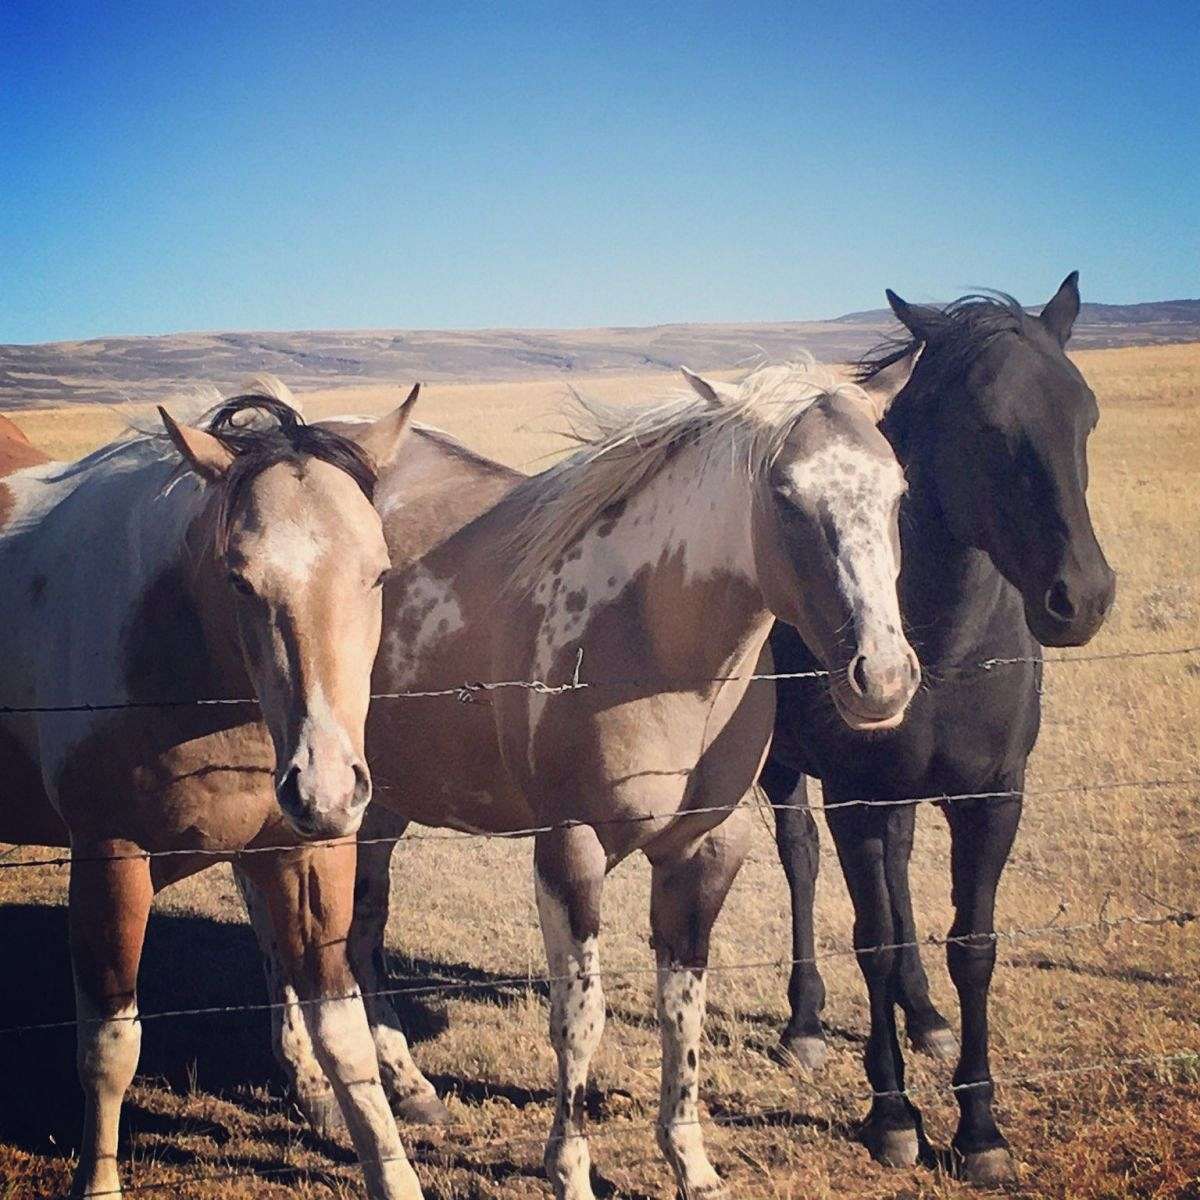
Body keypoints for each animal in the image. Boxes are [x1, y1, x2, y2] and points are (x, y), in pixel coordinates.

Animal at [0, 379, 424, 1199]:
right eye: (238, 577)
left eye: (379, 573)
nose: (326, 786)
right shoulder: (109, 860)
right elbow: (110, 1050)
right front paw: (98, 1184)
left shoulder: (304, 857)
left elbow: (344, 1036)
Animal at [238, 351, 924, 1200]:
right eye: (786, 498)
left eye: (898, 491)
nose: (883, 678)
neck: (657, 640)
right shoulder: (571, 849)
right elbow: (579, 1020)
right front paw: (568, 1168)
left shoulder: (706, 852)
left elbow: (682, 1009)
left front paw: (691, 1161)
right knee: (278, 934)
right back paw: (309, 1084)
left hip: (378, 802)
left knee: (360, 933)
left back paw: (409, 1084)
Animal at [762, 274, 1116, 1183]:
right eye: (989, 425)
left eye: (1087, 413)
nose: (1082, 597)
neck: (940, 641)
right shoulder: (855, 794)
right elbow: (873, 942)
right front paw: (892, 1117)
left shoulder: (991, 797)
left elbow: (971, 945)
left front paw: (981, 1129)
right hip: (785, 770)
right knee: (801, 861)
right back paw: (806, 1024)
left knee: (895, 875)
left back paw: (924, 1016)